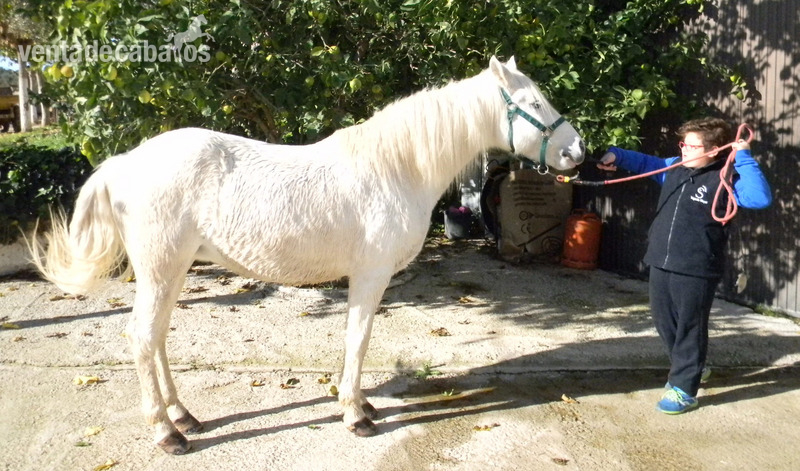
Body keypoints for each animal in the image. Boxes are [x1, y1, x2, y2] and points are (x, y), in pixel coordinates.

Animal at [30, 56, 585, 454]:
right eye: (534, 101)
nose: (577, 151)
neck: (396, 167)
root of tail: (126, 161)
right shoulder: (370, 276)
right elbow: (358, 341)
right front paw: (355, 415)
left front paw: (360, 405)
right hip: (162, 268)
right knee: (144, 338)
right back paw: (168, 434)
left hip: (172, 270)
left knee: (158, 337)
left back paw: (183, 415)